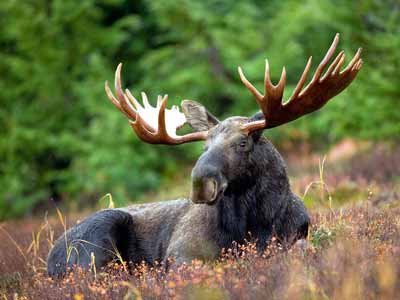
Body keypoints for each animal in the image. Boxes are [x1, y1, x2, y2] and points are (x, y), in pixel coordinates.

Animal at [47, 34, 362, 276]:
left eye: (242, 143)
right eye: (204, 146)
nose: (200, 183)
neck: (254, 225)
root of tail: (50, 259)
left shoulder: (297, 236)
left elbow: (302, 248)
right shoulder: (180, 253)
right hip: (97, 239)